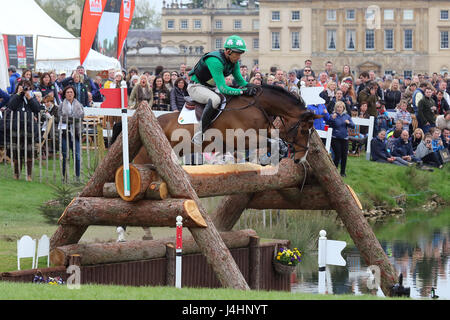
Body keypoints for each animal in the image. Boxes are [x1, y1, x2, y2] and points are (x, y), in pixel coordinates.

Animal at [134, 84, 320, 165]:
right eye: (303, 131)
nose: (301, 159)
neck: (258, 105)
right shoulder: (241, 139)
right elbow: (273, 143)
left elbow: (278, 143)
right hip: (145, 156)